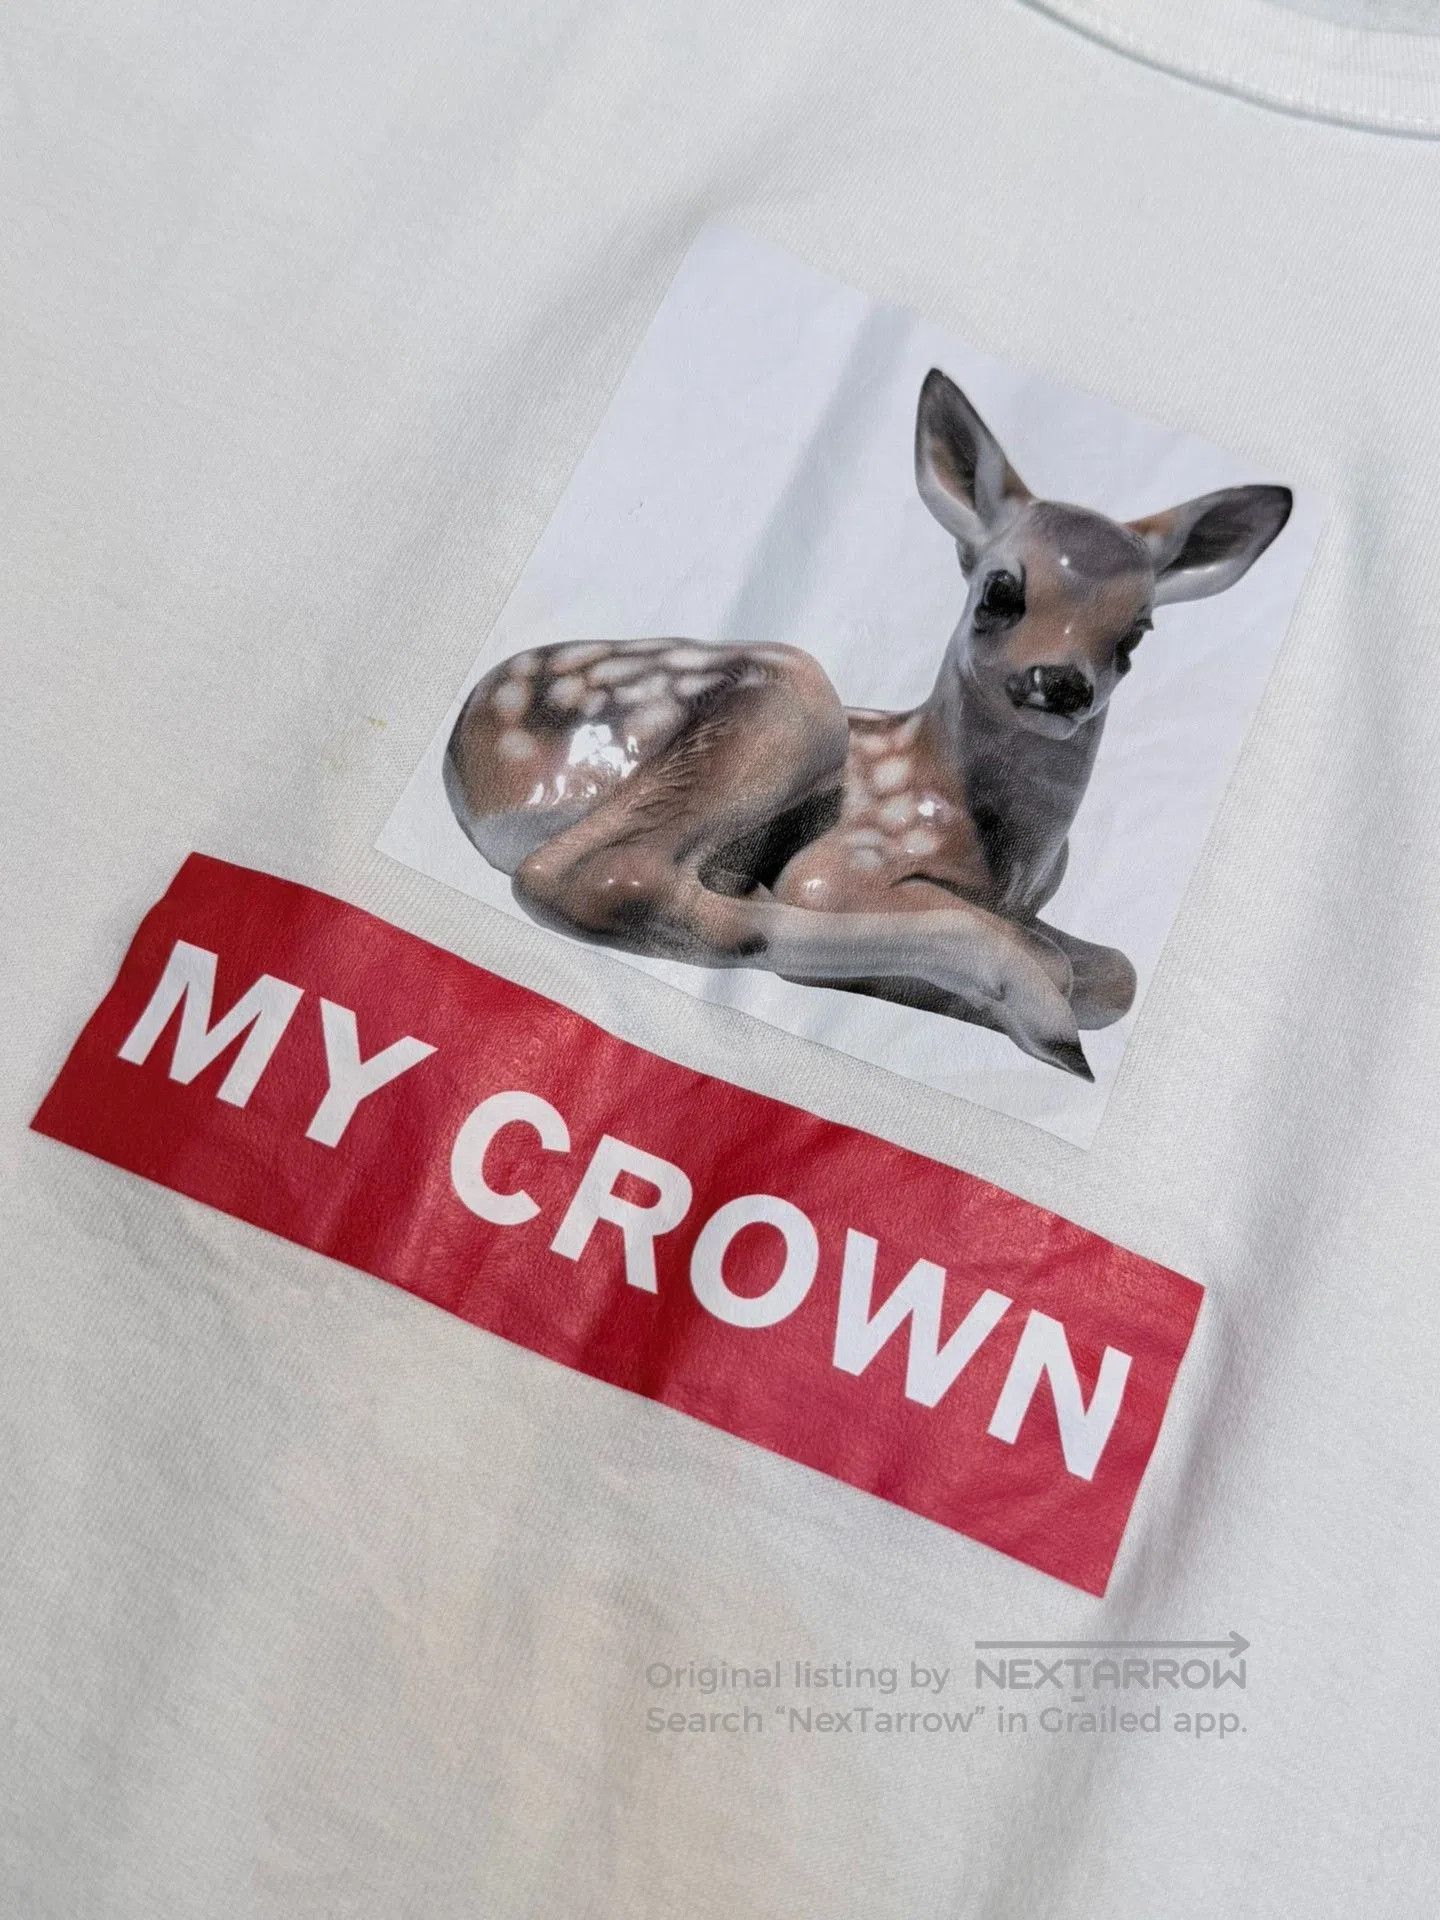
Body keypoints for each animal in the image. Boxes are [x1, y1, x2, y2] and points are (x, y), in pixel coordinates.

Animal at [445, 369, 1291, 1079]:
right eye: (1001, 591)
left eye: (1136, 634)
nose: (1060, 683)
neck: (1008, 865)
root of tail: (467, 765)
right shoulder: (847, 858)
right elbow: (1049, 957)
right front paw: (1019, 988)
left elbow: (1119, 972)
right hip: (792, 701)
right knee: (601, 878)